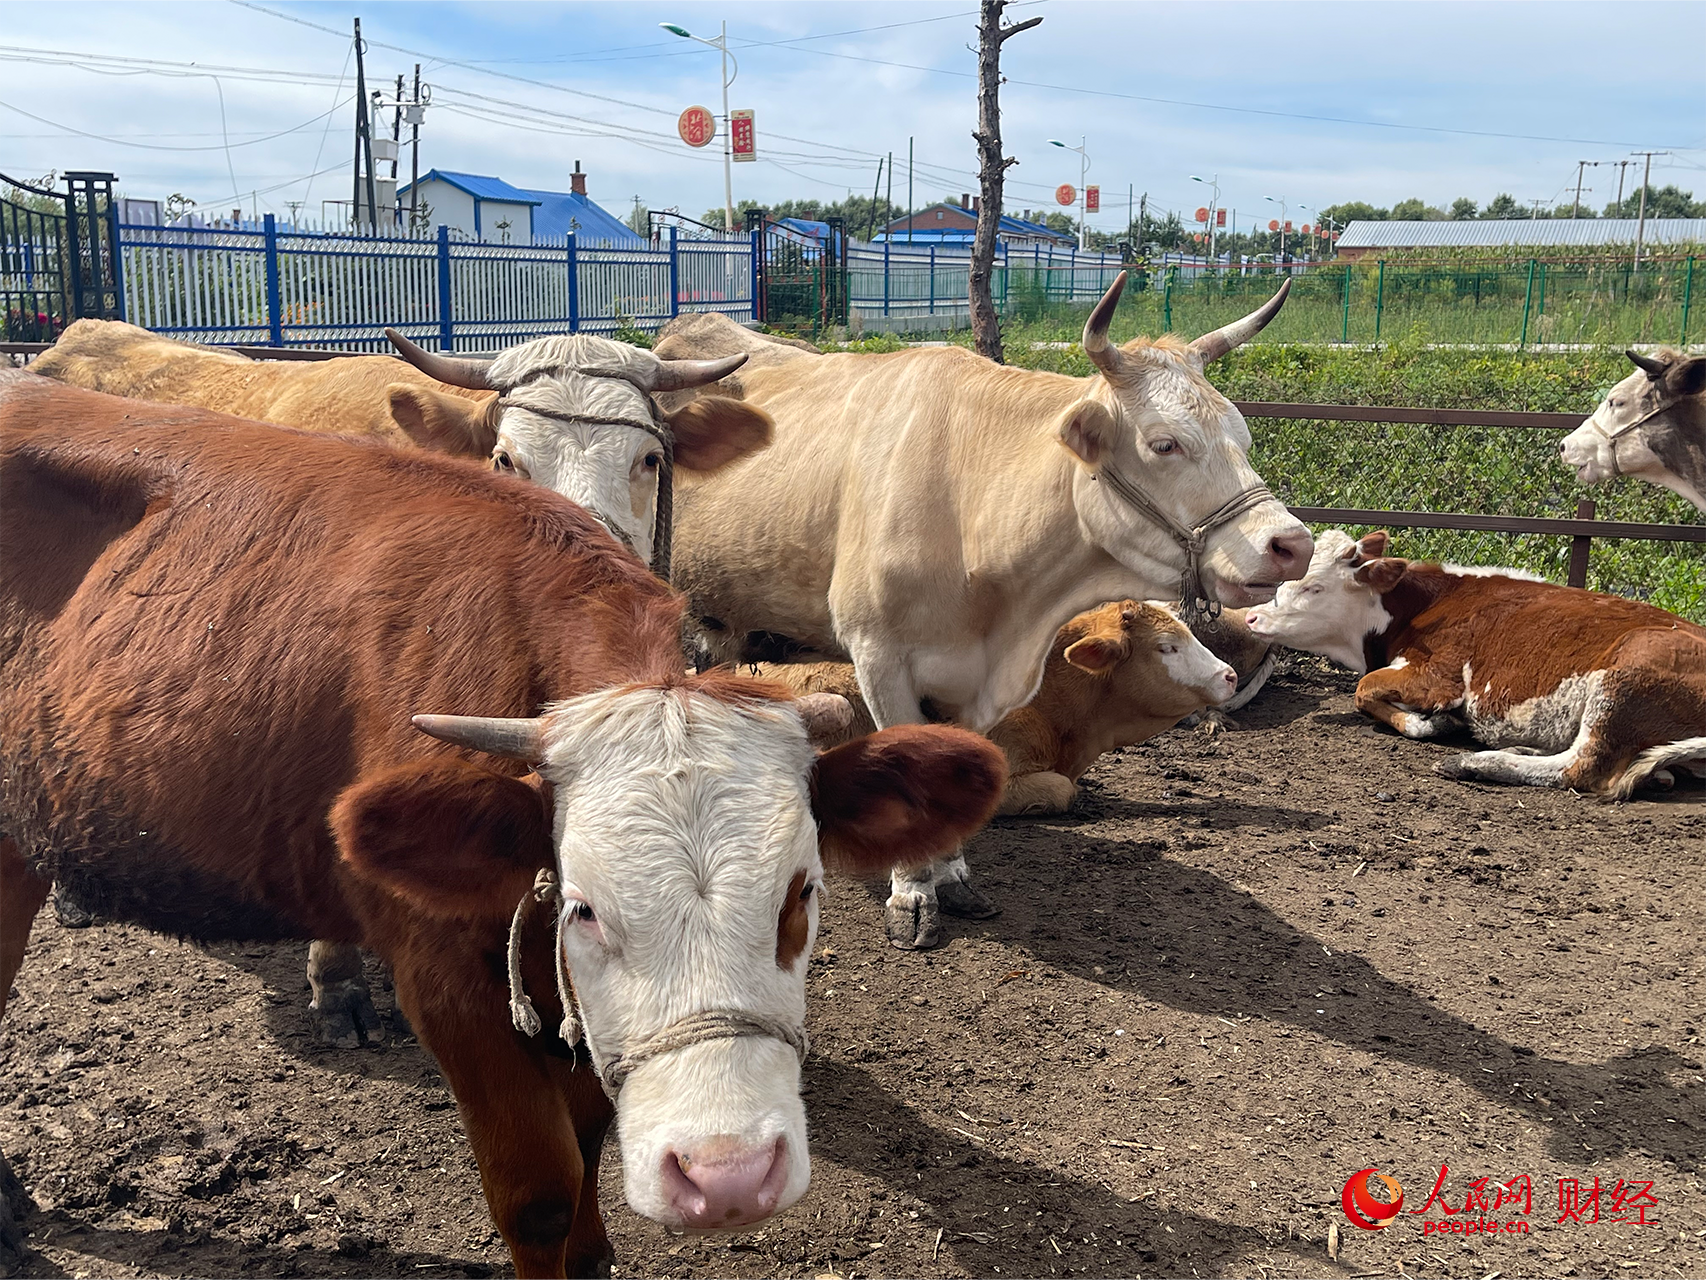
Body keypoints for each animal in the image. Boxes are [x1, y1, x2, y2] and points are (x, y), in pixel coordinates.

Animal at [0, 370, 1009, 1280]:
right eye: (585, 906)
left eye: (802, 894)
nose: (727, 1176)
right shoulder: (444, 978)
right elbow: (539, 1193)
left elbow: (591, 1146)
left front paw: (597, 1250)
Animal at [1241, 529, 1706, 791]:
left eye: (1313, 588)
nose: (1252, 616)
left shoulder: (1438, 677)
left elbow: (1364, 689)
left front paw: (1435, 723)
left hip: (1623, 678)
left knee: (1582, 767)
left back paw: (1473, 762)